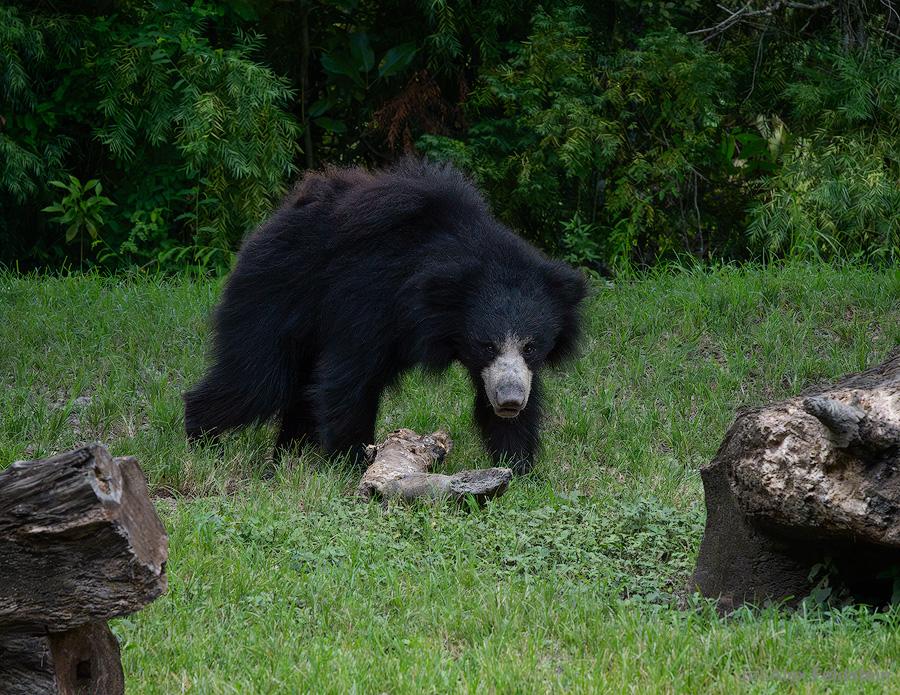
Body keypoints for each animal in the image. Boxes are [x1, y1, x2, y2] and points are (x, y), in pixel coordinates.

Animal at [184, 158, 586, 473]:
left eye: (532, 347)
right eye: (486, 345)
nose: (510, 402)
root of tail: (276, 218)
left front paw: (518, 467)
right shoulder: (370, 300)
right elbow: (349, 379)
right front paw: (350, 464)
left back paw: (285, 459)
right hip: (274, 295)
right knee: (258, 380)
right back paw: (204, 441)